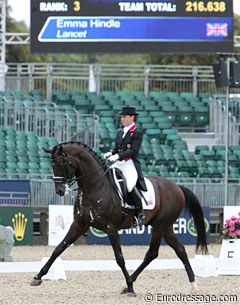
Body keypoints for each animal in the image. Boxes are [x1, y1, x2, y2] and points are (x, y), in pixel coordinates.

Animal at [31, 142, 208, 294]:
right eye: (52, 165)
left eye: (62, 164)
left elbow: (119, 258)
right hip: (166, 226)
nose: (60, 191)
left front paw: (130, 288)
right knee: (179, 250)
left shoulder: (111, 228)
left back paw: (129, 283)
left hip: (160, 225)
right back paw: (194, 285)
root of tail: (177, 186)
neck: (94, 187)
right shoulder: (79, 225)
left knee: (152, 253)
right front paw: (38, 277)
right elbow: (58, 248)